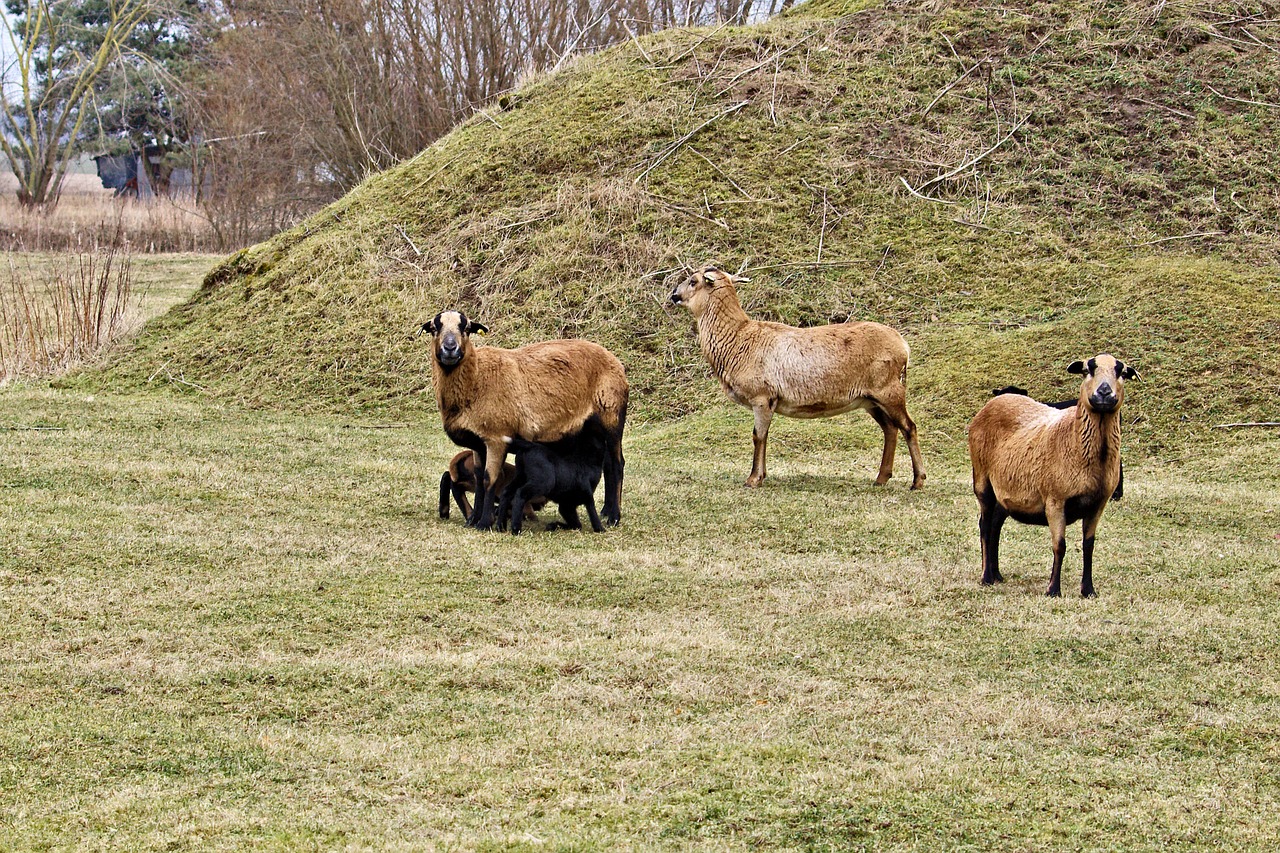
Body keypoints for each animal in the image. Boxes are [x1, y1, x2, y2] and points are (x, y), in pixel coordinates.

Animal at [422, 308, 627, 527]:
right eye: (435, 327)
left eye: (466, 328)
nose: (450, 348)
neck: (477, 377)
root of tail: (614, 359)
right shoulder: (478, 442)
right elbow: (478, 480)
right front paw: (473, 520)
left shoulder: (496, 438)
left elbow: (489, 479)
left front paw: (484, 523)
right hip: (591, 430)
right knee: (606, 463)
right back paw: (606, 511)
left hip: (612, 416)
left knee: (616, 465)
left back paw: (614, 517)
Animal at [665, 261, 926, 484]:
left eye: (693, 281)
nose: (674, 295)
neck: (737, 337)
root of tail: (903, 345)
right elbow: (765, 436)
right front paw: (762, 475)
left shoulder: (762, 397)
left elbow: (758, 436)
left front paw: (753, 479)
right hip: (870, 399)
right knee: (890, 429)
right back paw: (881, 478)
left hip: (889, 390)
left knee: (908, 427)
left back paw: (918, 481)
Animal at [967, 348, 1141, 594]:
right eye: (1087, 369)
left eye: (1122, 372)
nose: (1104, 393)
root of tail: (995, 401)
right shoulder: (1055, 500)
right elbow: (1059, 545)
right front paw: (1053, 589)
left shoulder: (1097, 504)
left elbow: (1089, 545)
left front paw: (1088, 590)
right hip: (982, 480)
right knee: (984, 526)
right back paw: (986, 577)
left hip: (1006, 491)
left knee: (995, 526)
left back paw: (997, 574)